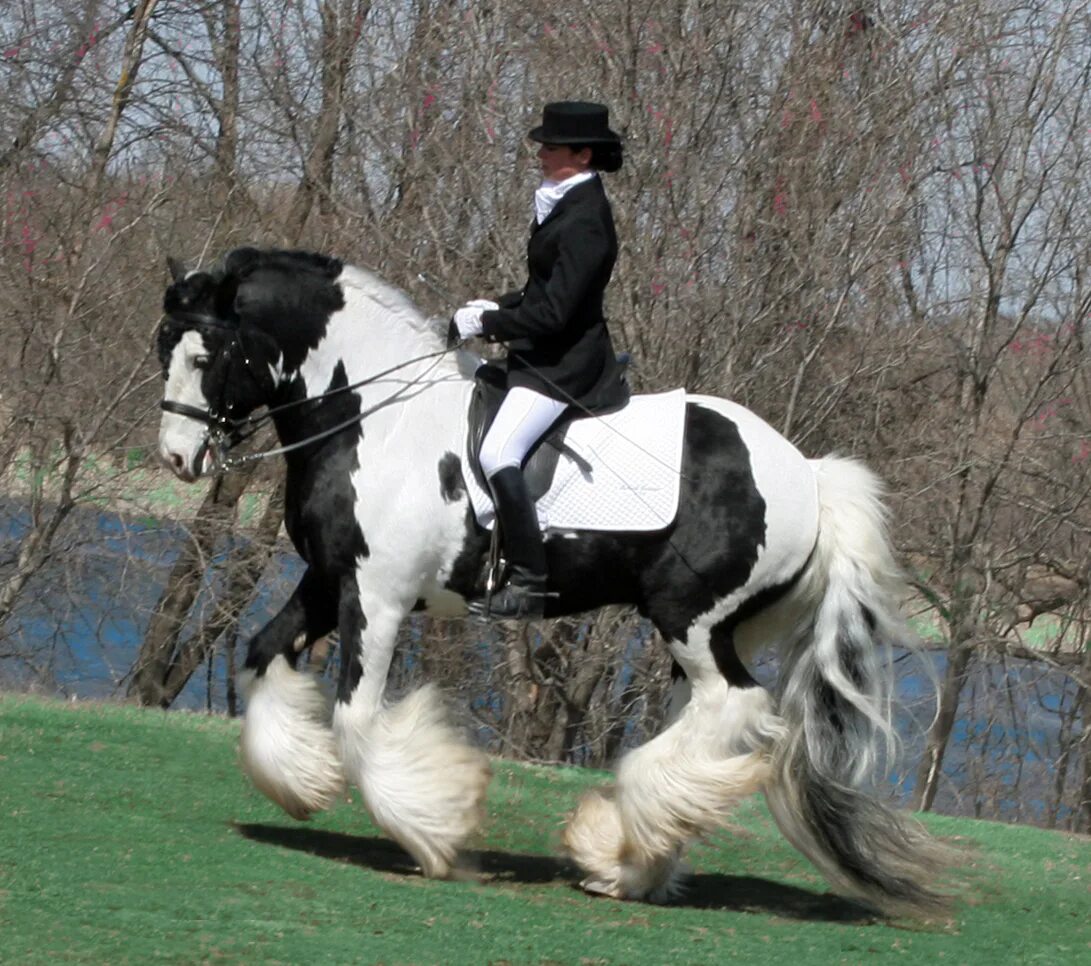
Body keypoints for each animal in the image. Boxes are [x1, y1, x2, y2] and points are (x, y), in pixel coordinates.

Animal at [158, 246, 951, 912]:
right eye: (164, 346)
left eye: (205, 353)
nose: (175, 459)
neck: (375, 422)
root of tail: (809, 474)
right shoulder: (329, 581)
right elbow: (262, 653)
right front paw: (299, 781)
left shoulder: (377, 596)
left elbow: (356, 719)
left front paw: (436, 828)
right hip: (715, 630)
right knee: (707, 722)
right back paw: (631, 858)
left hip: (691, 619)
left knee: (736, 706)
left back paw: (623, 851)